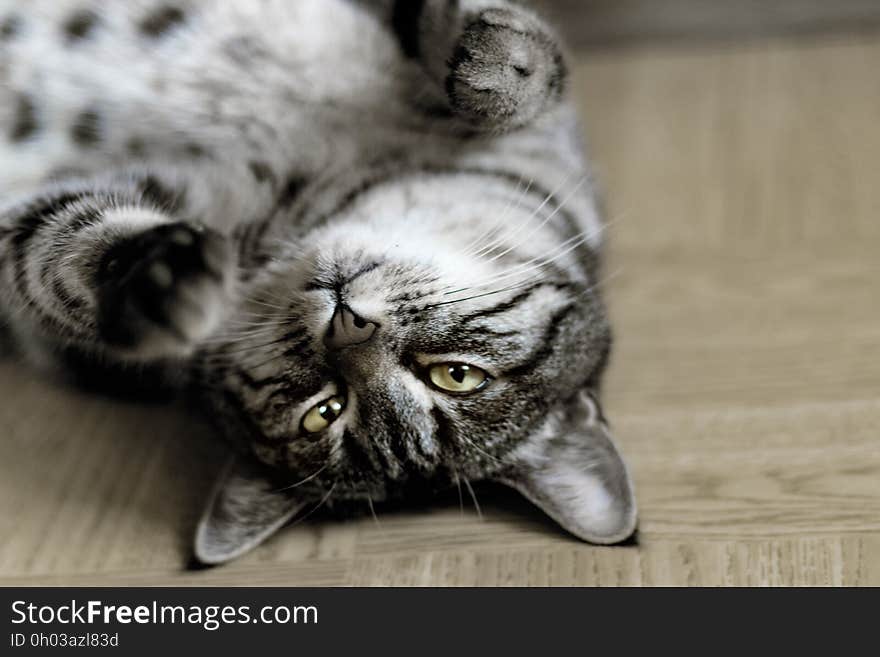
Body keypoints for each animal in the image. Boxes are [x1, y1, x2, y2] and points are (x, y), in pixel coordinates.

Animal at [0, 0, 636, 564]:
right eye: (457, 375)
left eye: (324, 410)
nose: (350, 327)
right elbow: (537, 76)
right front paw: (494, 60)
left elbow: (49, 254)